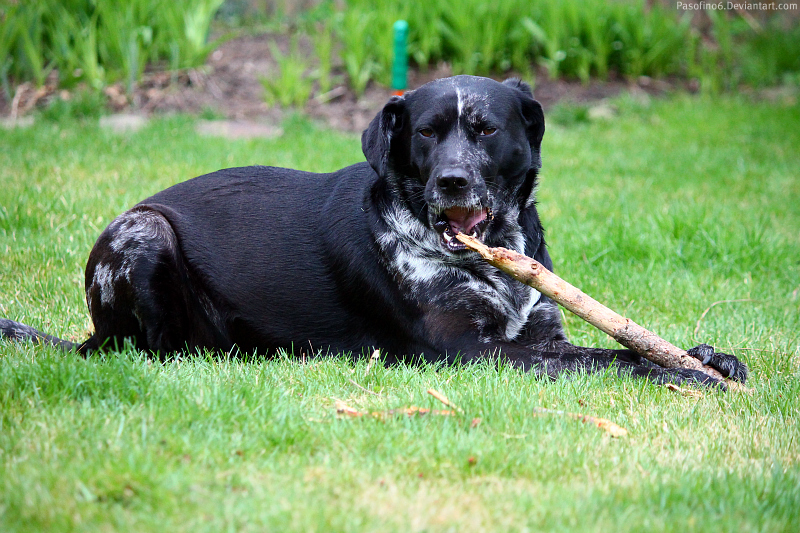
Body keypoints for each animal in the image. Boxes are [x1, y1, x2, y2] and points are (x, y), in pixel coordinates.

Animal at [1, 76, 752, 386]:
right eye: (425, 133)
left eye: (485, 130)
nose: (451, 182)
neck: (494, 263)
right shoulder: (468, 351)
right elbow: (610, 356)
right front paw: (674, 370)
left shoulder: (539, 334)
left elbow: (614, 342)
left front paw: (708, 356)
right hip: (145, 232)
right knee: (149, 352)